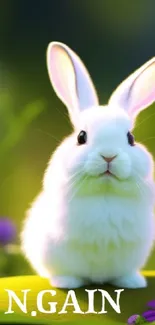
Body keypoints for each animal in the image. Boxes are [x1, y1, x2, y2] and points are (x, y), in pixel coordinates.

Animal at [21, 42, 155, 288]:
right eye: (81, 137)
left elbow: (125, 273)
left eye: (130, 138)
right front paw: (66, 283)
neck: (105, 191)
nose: (109, 156)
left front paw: (133, 283)